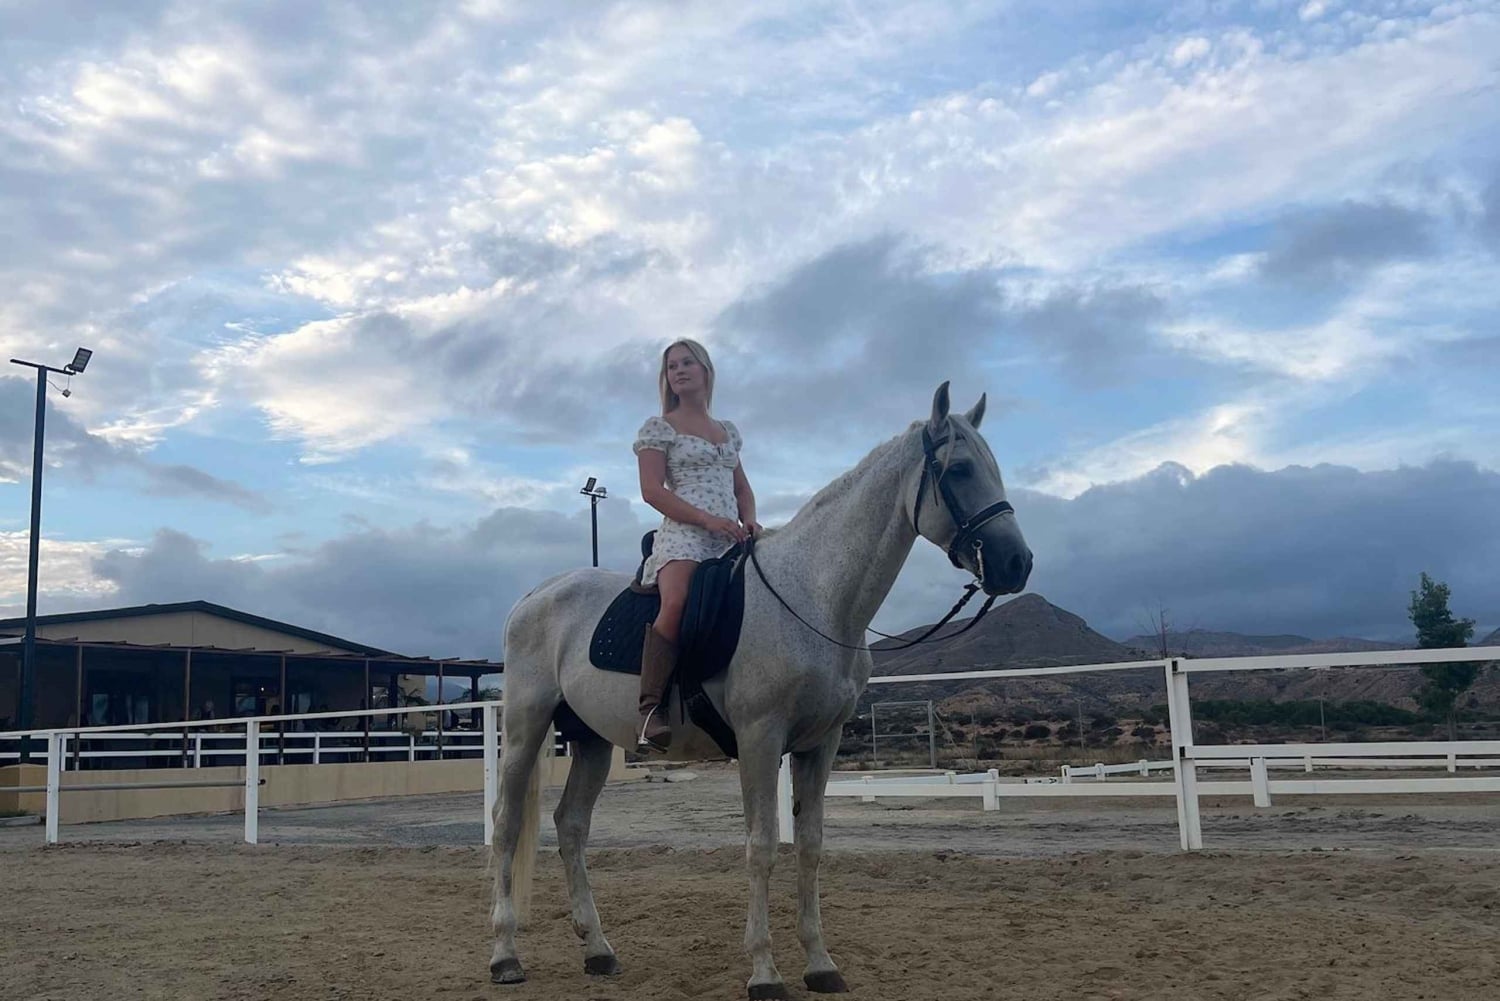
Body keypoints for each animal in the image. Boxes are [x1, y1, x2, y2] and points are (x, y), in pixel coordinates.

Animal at [488, 381, 1033, 999]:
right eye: (960, 469)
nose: (1017, 563)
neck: (813, 598)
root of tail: (536, 594)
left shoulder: (820, 744)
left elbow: (811, 846)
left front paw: (820, 963)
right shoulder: (759, 738)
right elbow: (763, 845)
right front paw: (764, 972)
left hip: (593, 742)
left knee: (571, 825)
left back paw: (599, 949)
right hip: (527, 725)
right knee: (507, 824)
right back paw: (505, 955)